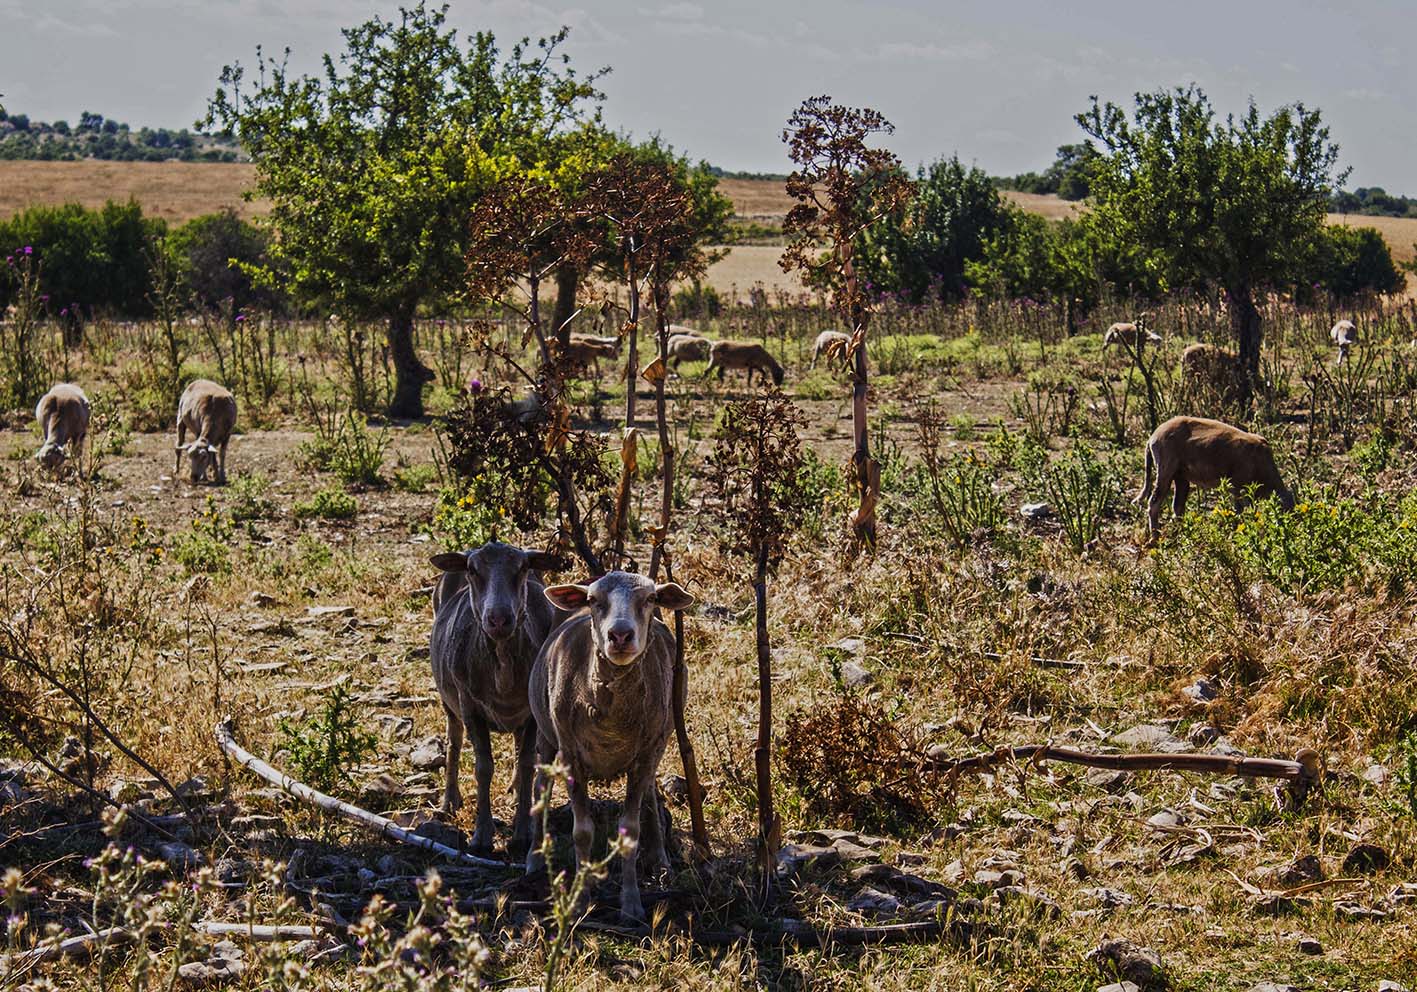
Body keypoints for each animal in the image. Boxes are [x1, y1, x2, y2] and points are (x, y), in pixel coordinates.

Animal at [427, 541, 566, 850]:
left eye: (523, 567)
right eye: (472, 570)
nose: (499, 618)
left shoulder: (531, 712)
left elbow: (527, 763)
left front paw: (523, 832)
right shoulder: (470, 707)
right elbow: (483, 768)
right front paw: (481, 835)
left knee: (519, 747)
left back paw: (515, 791)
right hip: (448, 700)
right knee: (453, 742)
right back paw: (449, 802)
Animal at [527, 572, 691, 923]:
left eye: (651, 599)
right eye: (593, 600)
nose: (620, 635)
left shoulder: (645, 754)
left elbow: (630, 830)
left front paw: (631, 905)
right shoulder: (570, 755)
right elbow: (582, 832)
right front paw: (579, 901)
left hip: (658, 743)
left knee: (650, 796)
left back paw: (660, 860)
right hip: (546, 737)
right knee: (539, 789)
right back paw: (533, 858)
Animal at [1133, 413, 1292, 535]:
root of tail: (1152, 437)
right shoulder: (1238, 486)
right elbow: (1241, 511)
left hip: (1181, 476)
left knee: (1177, 506)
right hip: (1165, 471)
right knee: (1154, 503)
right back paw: (1155, 537)